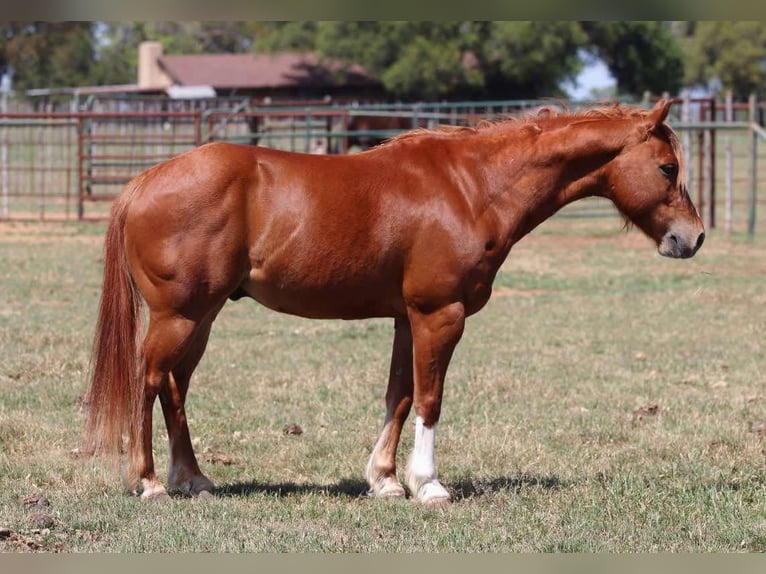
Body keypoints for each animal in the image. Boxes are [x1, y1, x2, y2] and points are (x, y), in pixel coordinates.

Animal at [83, 99, 704, 506]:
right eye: (667, 167)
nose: (692, 238)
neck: (473, 186)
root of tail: (146, 180)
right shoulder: (440, 315)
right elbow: (430, 399)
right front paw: (428, 484)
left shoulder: (408, 319)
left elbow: (400, 397)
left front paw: (384, 479)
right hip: (180, 316)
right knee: (146, 381)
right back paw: (150, 483)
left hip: (202, 317)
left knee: (173, 388)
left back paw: (193, 479)